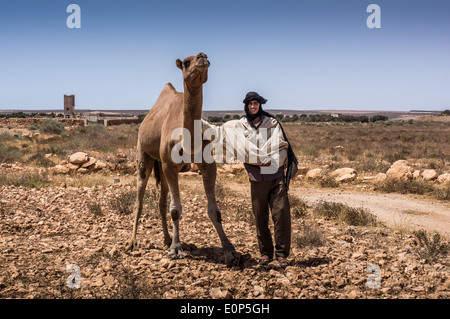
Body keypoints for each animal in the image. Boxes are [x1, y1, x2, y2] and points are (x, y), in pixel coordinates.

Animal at [125, 52, 241, 268]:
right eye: (187, 62)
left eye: (207, 57)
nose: (202, 57)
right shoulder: (169, 165)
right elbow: (175, 209)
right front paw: (176, 250)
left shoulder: (207, 164)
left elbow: (215, 211)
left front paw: (231, 252)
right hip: (144, 154)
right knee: (140, 198)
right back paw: (131, 243)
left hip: (160, 167)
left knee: (161, 201)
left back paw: (166, 239)